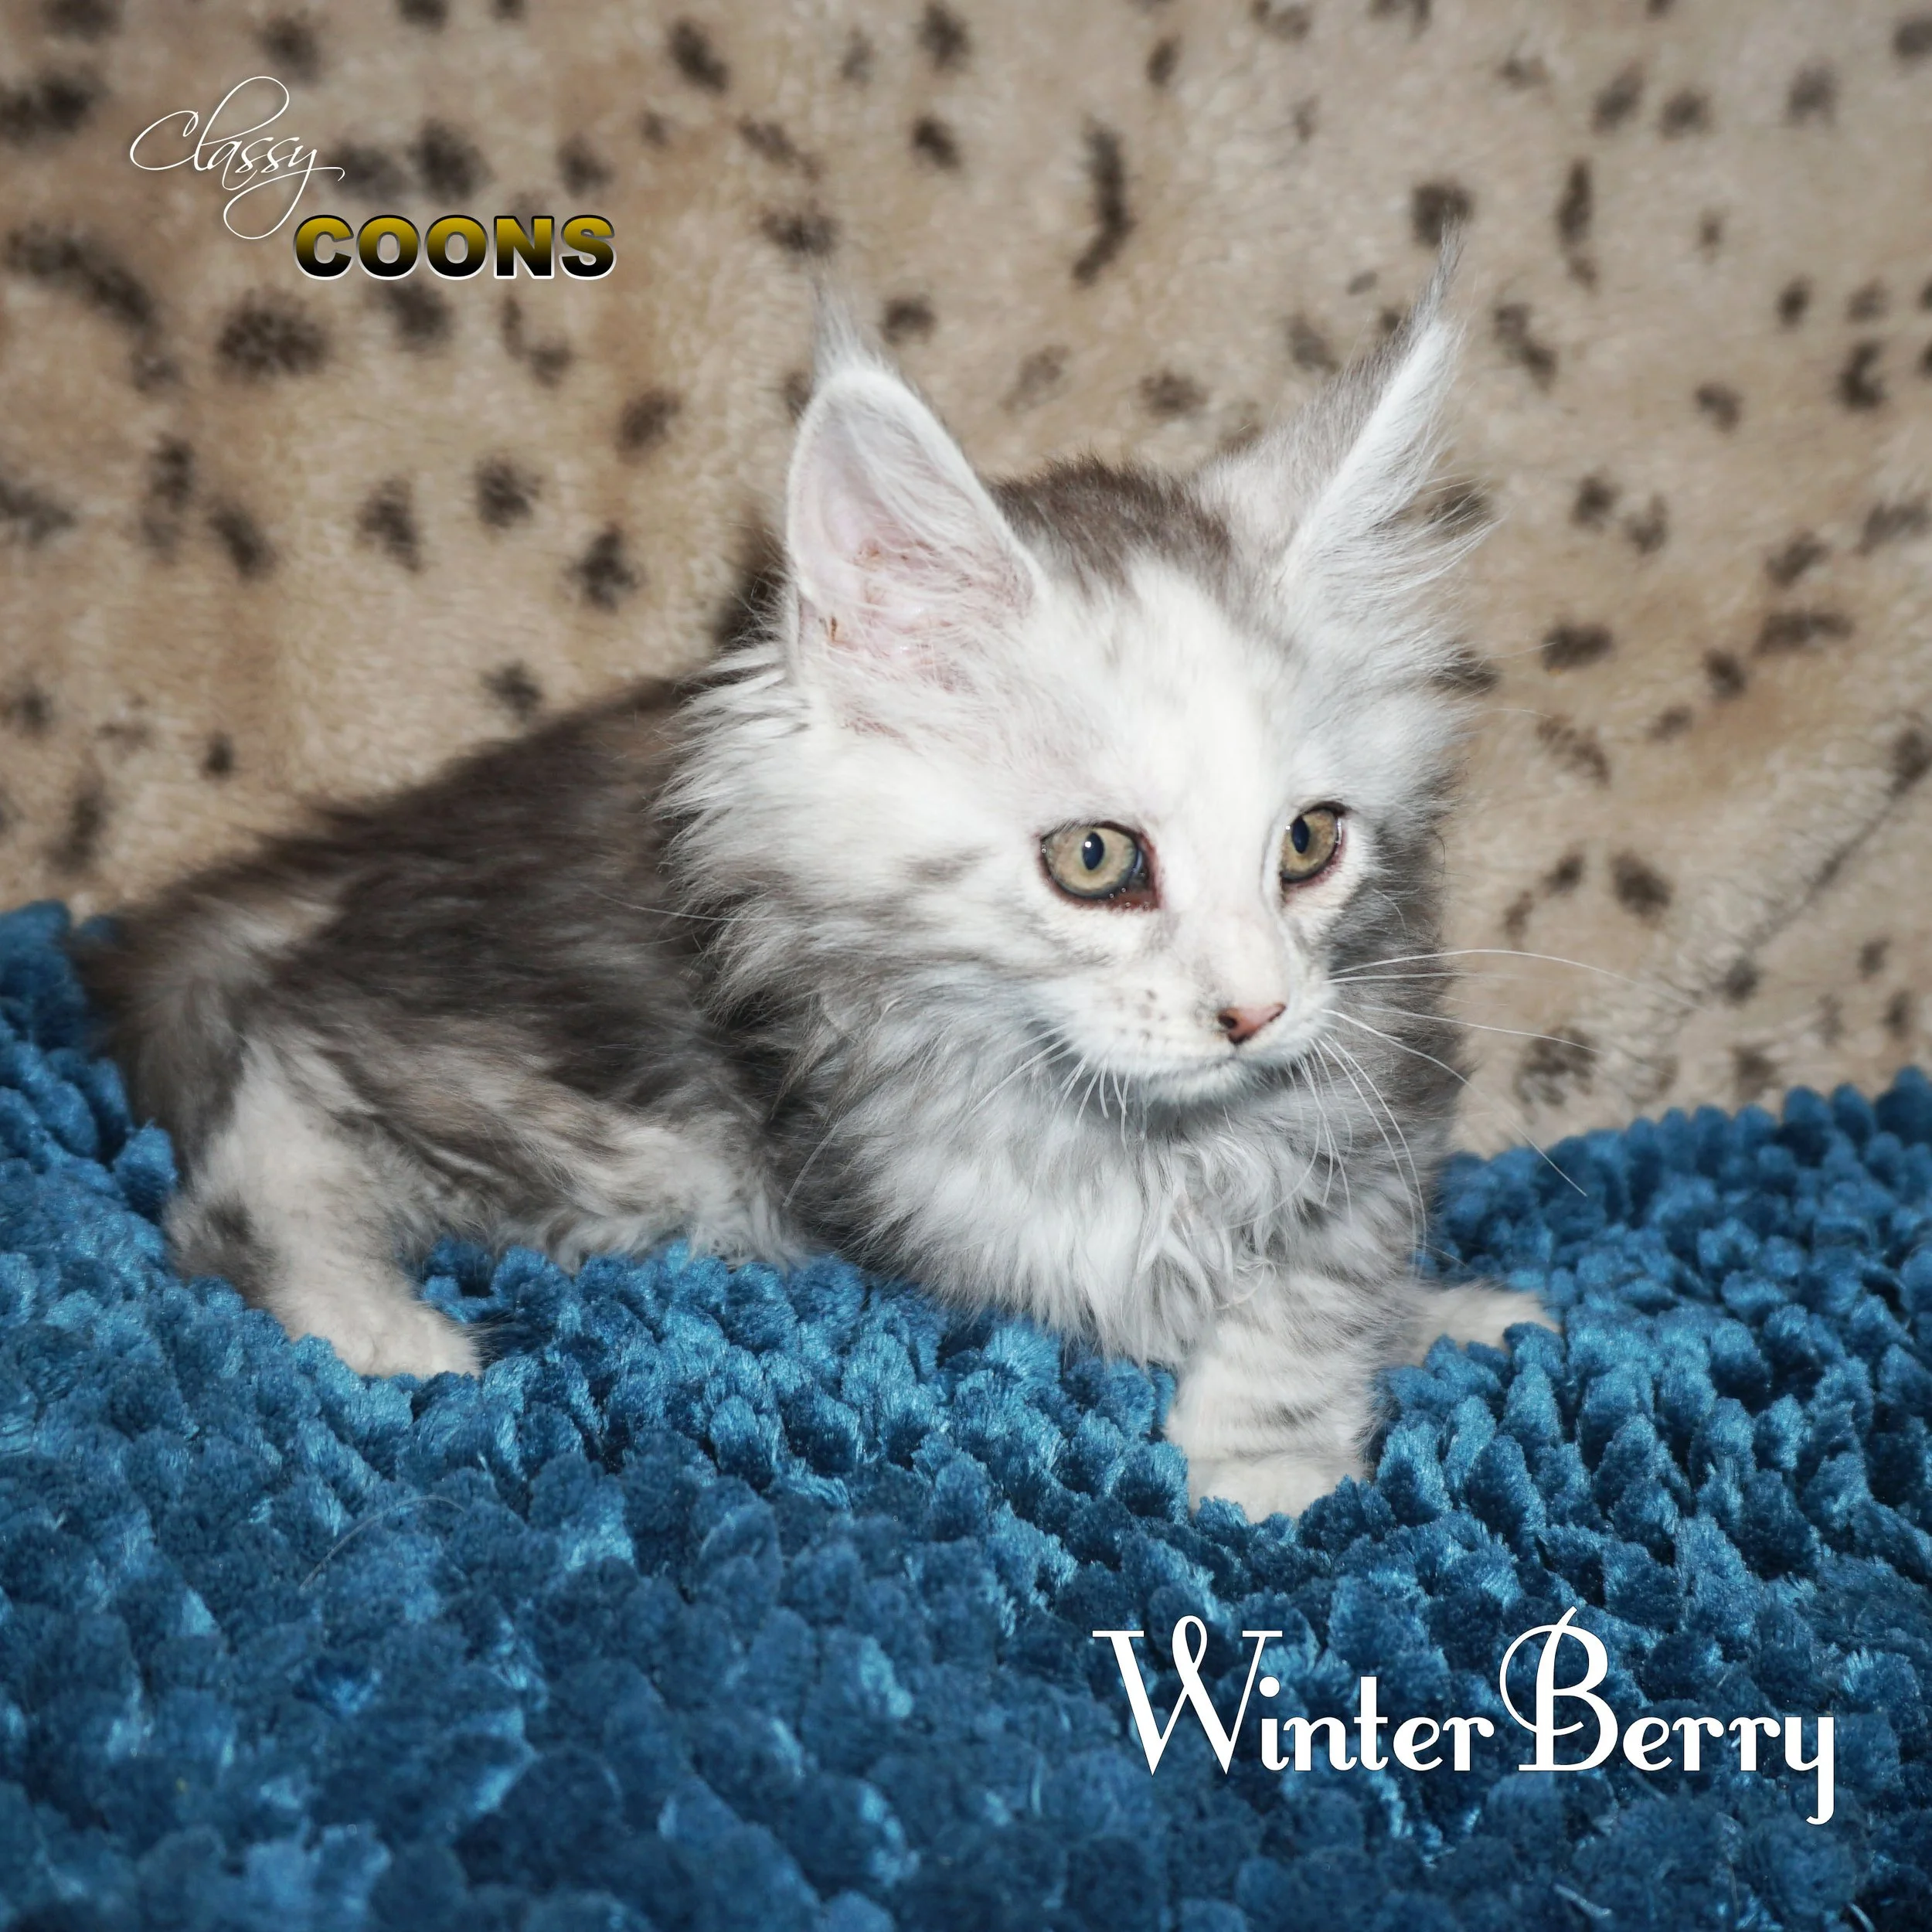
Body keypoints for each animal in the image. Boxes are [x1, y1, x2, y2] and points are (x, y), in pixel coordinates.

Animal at [77, 265, 1551, 1521]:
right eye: (1096, 860)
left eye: (1307, 844)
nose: (1255, 1013)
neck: (1142, 1131)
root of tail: (393, 840)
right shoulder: (934, 1181)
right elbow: (1171, 1286)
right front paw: (1269, 1475)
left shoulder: (1379, 1057)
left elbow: (1328, 1265)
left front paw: (1399, 1337)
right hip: (600, 1105)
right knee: (279, 1081)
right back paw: (368, 1316)